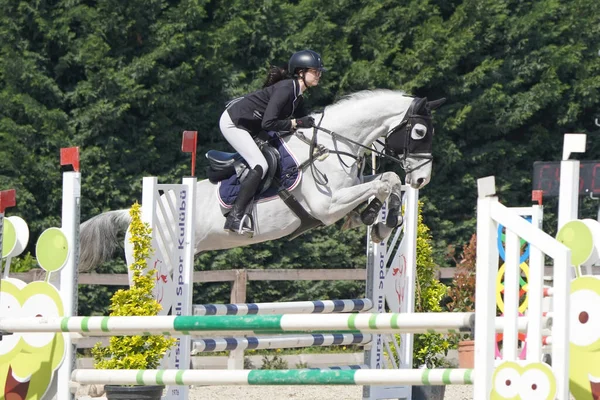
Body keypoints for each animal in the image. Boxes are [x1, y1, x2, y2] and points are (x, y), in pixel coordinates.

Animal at [78, 90, 446, 272]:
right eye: (419, 132)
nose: (422, 179)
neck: (331, 144)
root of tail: (134, 216)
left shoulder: (351, 187)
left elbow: (388, 178)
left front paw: (378, 220)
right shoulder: (326, 205)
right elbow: (383, 181)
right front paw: (373, 217)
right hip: (159, 265)